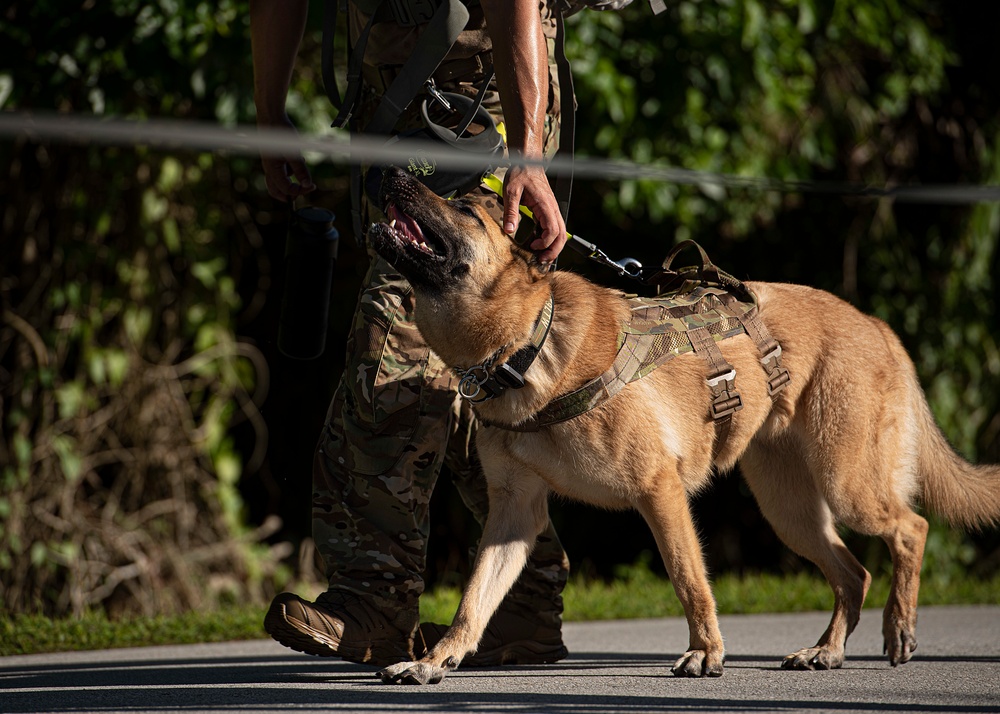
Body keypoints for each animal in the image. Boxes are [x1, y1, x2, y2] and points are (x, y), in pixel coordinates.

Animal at [368, 164, 1000, 680]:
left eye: (467, 211)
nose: (393, 172)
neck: (528, 344)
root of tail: (876, 324)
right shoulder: (513, 514)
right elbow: (473, 599)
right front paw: (434, 660)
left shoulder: (660, 490)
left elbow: (688, 577)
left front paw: (705, 652)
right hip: (789, 509)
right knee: (852, 574)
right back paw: (827, 651)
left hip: (848, 485)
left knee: (910, 529)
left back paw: (900, 628)